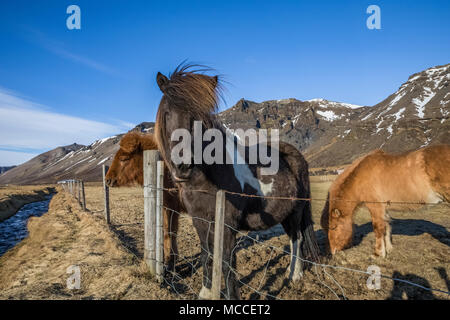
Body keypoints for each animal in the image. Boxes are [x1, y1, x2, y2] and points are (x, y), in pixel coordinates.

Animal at [104, 131, 184, 268]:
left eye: (124, 158)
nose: (108, 179)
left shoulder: (173, 207)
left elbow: (170, 232)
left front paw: (170, 260)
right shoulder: (166, 206)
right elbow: (166, 231)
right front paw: (168, 259)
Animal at [155, 63, 320, 298]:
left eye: (198, 117)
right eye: (168, 113)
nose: (183, 166)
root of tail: (297, 155)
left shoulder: (227, 225)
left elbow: (226, 263)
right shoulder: (200, 221)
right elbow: (206, 255)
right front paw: (206, 292)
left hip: (296, 212)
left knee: (297, 238)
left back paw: (294, 275)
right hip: (285, 213)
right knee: (293, 237)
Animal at [320, 145, 450, 258]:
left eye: (333, 227)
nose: (332, 252)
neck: (361, 176)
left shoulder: (375, 207)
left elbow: (378, 229)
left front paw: (378, 254)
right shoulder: (384, 209)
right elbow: (387, 228)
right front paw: (388, 249)